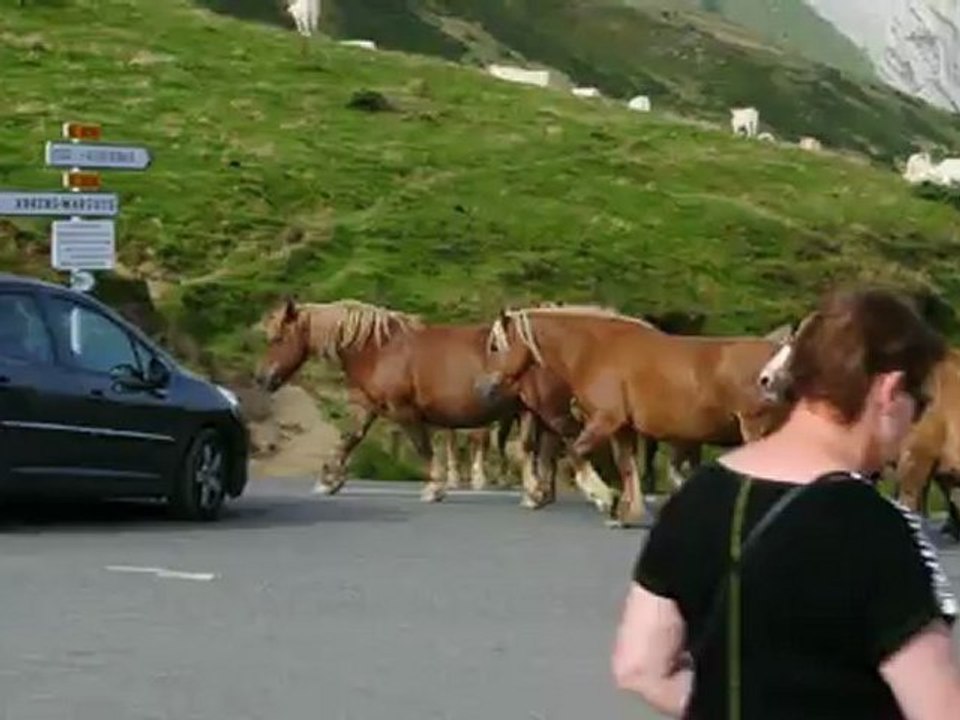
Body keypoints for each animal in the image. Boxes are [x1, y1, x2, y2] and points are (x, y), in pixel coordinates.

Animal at [254, 297, 526, 502]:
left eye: (278, 338)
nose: (262, 378)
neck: (379, 351)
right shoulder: (369, 407)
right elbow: (350, 438)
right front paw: (329, 480)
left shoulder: (404, 411)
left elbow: (423, 447)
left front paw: (434, 488)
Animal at [477, 305, 790, 527]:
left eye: (495, 346)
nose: (484, 388)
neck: (596, 351)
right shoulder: (621, 429)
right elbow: (626, 466)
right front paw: (629, 514)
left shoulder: (604, 421)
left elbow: (576, 454)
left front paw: (604, 498)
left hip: (755, 429)